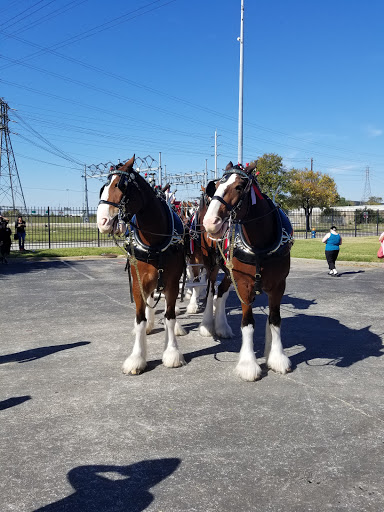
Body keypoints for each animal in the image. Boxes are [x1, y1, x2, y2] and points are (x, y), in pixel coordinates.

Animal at [96, 154, 186, 374]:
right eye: (103, 187)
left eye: (120, 185)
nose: (102, 221)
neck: (155, 241)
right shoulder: (138, 282)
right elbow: (139, 318)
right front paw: (137, 357)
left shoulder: (172, 282)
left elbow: (170, 316)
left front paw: (171, 352)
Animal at [202, 161, 292, 380]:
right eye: (217, 186)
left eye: (239, 187)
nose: (210, 222)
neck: (260, 244)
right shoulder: (244, 285)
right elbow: (248, 323)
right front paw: (248, 364)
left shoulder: (278, 285)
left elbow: (275, 320)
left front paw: (276, 358)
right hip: (212, 266)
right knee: (210, 291)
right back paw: (207, 326)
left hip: (229, 272)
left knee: (220, 292)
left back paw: (222, 327)